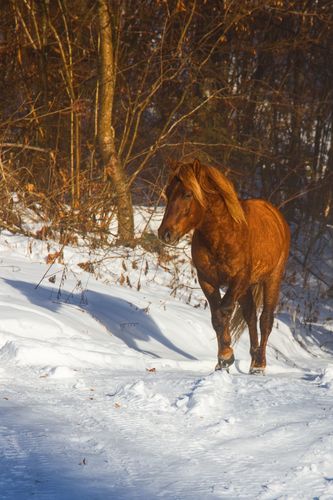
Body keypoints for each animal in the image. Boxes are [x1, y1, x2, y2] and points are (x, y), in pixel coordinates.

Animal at [157, 158, 290, 374]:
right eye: (168, 192)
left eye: (187, 194)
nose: (165, 233)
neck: (222, 235)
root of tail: (276, 216)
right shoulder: (207, 280)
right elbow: (216, 318)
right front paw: (223, 359)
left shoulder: (237, 280)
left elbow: (224, 310)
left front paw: (226, 355)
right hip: (246, 288)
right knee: (251, 316)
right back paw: (253, 359)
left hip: (272, 279)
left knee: (265, 320)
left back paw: (259, 365)